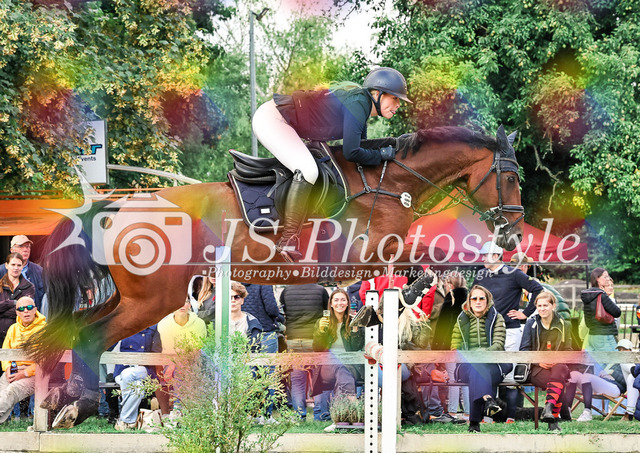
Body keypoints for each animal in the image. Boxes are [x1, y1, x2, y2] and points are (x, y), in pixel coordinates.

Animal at [25, 125, 525, 428]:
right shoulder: (367, 254)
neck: (389, 185)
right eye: (512, 178)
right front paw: (442, 285)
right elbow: (432, 253)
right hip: (151, 301)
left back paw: (58, 401)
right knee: (92, 338)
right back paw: (79, 406)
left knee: (69, 332)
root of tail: (119, 206)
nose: (514, 236)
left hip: (127, 298)